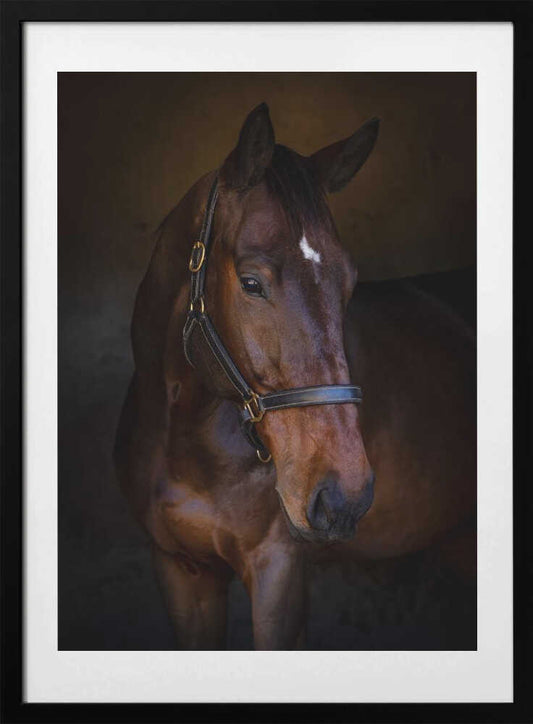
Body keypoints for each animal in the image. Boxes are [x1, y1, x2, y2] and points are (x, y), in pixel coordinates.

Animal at [114, 103, 476, 650]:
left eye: (349, 283)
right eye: (250, 282)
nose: (344, 498)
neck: (184, 439)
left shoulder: (278, 572)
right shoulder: (182, 571)